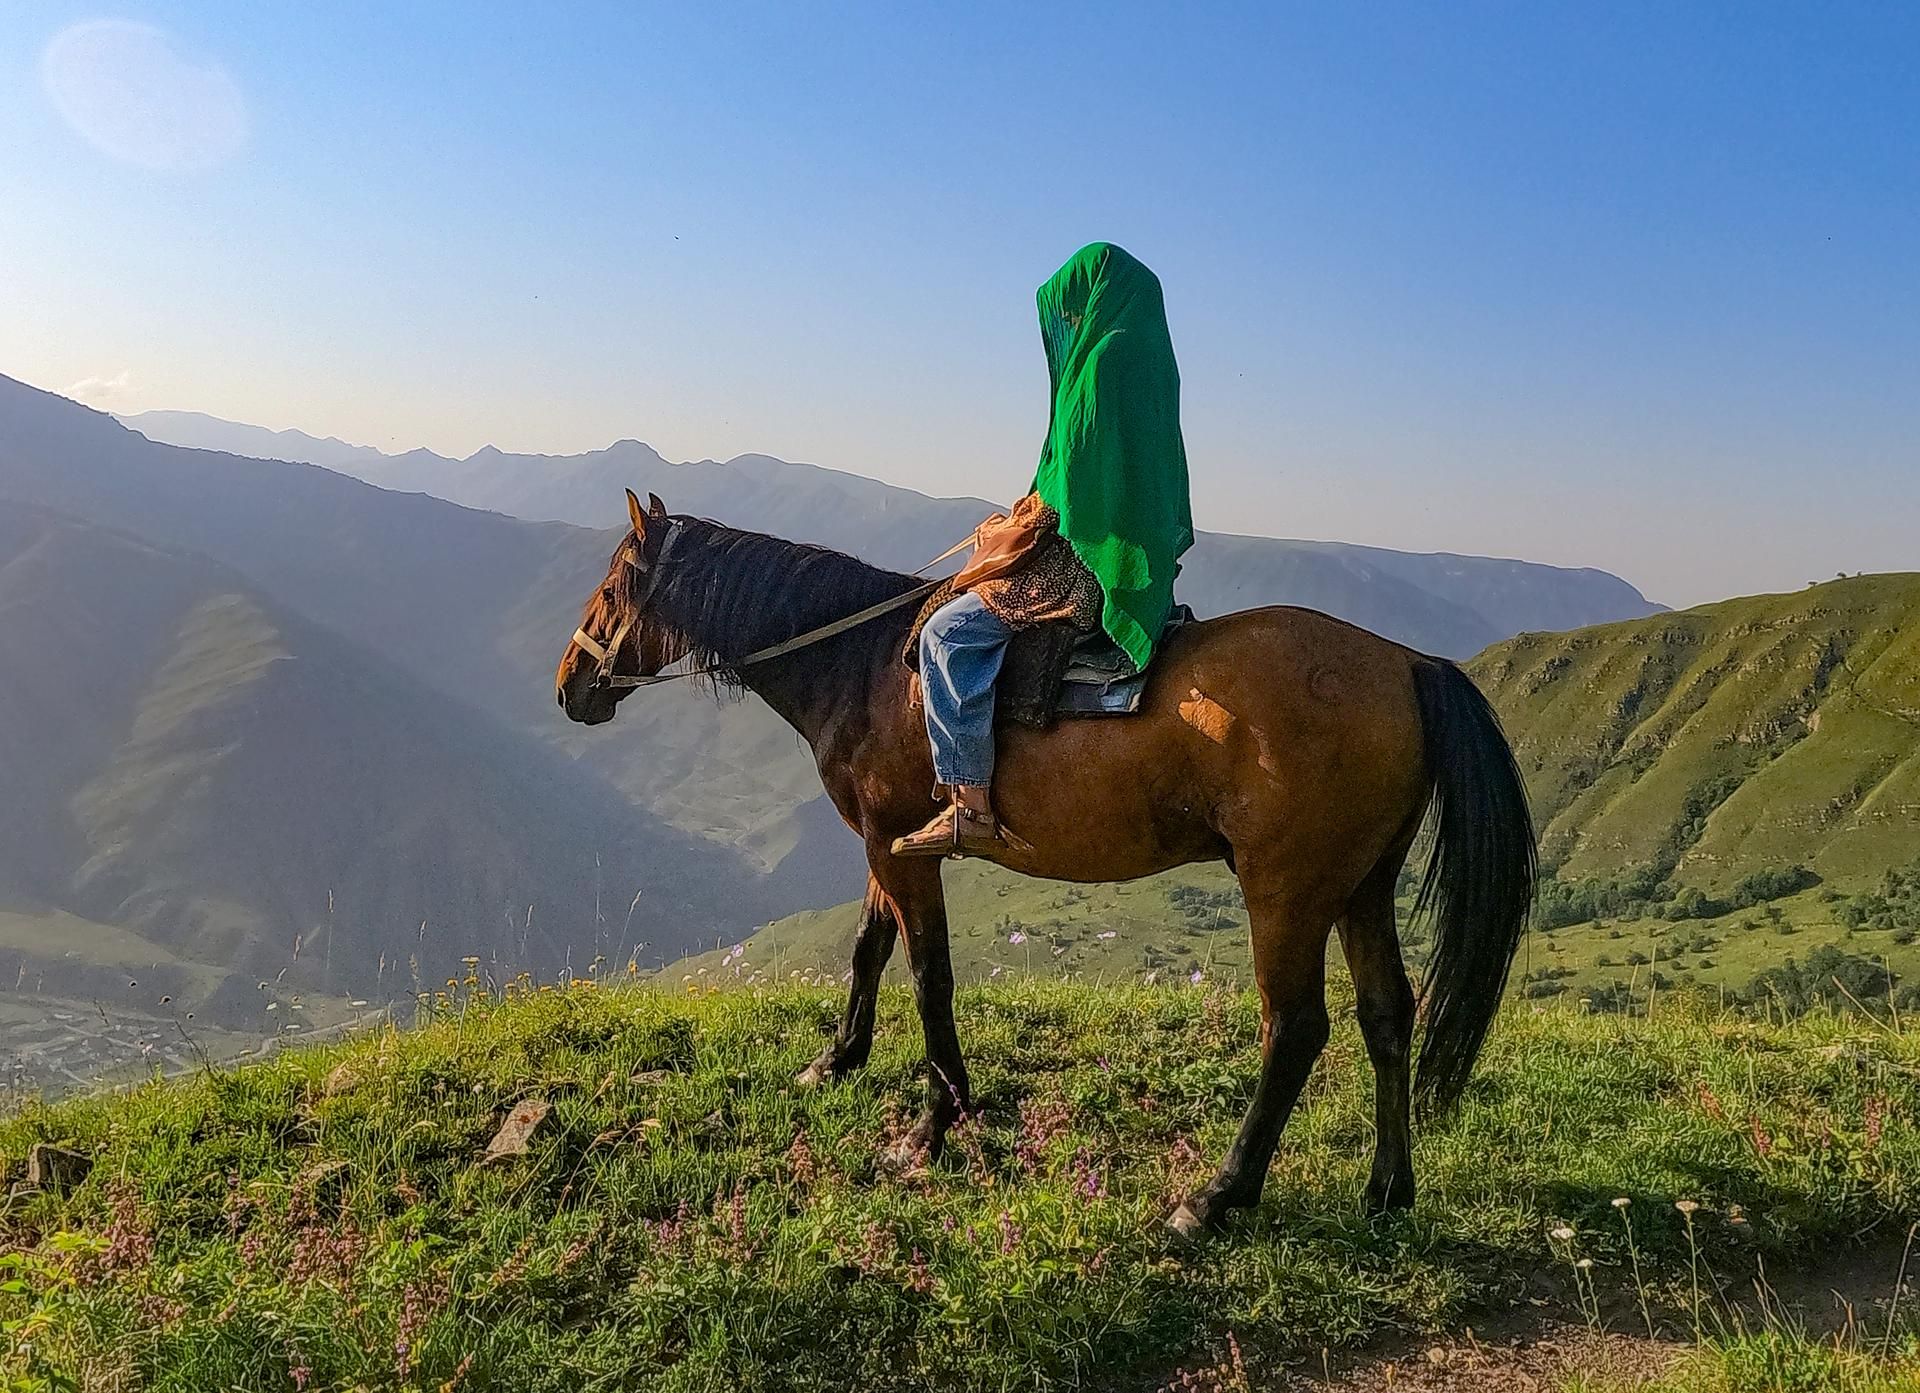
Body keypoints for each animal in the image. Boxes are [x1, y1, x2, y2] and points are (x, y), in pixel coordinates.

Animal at [556, 495, 1528, 1243]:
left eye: (609, 590)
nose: (568, 686)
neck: (861, 667)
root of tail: (1408, 664)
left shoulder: (897, 847)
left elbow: (929, 977)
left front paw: (933, 1126)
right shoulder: (887, 841)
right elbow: (869, 948)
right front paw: (836, 1062)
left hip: (1286, 892)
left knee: (1294, 1030)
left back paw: (1215, 1198)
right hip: (1362, 885)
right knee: (1387, 1015)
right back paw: (1388, 1189)